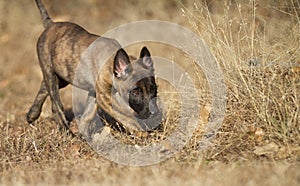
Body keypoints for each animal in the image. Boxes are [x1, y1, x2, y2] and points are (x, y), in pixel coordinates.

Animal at [27, 0, 163, 137]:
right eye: (135, 92)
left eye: (153, 88)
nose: (154, 113)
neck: (111, 62)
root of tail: (50, 24)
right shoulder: (104, 97)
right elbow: (125, 116)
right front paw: (142, 133)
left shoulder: (94, 93)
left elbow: (87, 115)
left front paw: (84, 134)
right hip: (50, 73)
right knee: (56, 104)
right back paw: (65, 130)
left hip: (62, 76)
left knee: (44, 86)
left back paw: (32, 114)